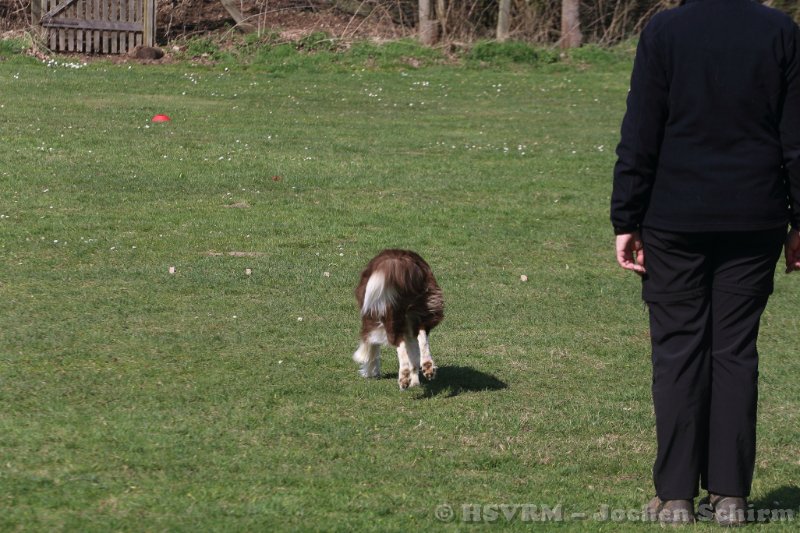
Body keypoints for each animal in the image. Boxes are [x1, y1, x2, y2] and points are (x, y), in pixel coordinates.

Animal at [353, 249, 444, 389]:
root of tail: (399, 262)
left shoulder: (371, 320)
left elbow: (371, 347)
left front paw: (369, 371)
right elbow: (413, 354)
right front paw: (415, 381)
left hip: (390, 314)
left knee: (398, 343)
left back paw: (404, 377)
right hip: (425, 307)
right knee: (422, 334)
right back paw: (427, 366)